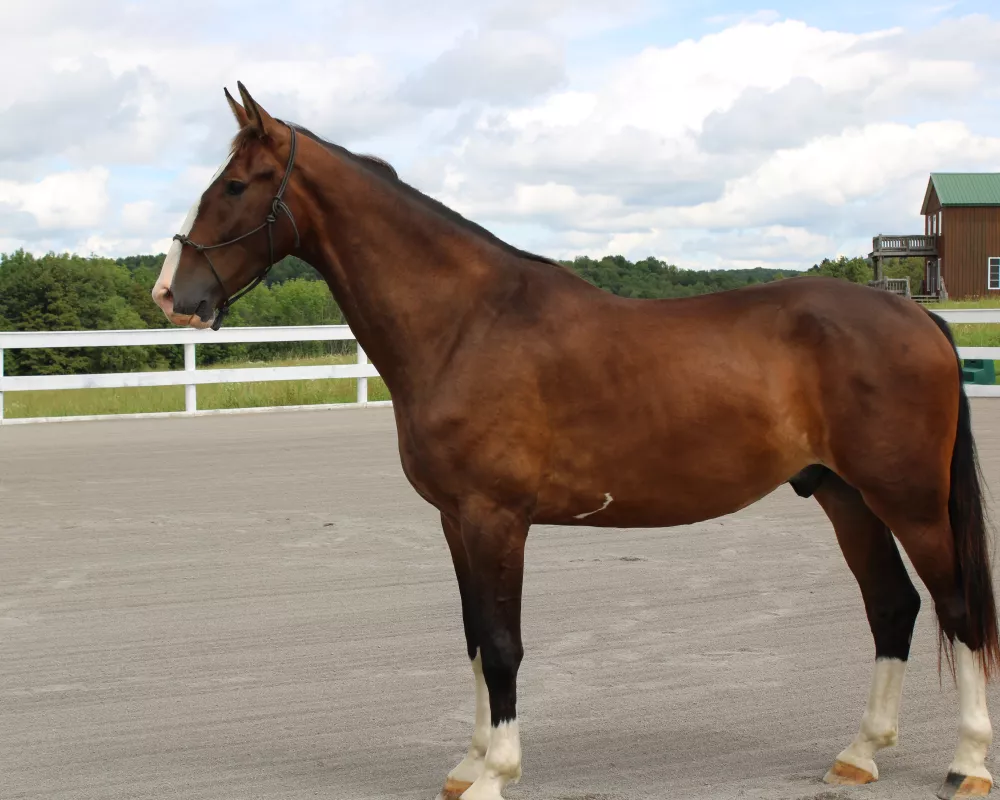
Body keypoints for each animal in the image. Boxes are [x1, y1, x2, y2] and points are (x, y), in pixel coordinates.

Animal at [152, 84, 996, 796]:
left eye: (236, 185)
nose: (171, 294)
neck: (467, 324)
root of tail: (916, 315)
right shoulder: (456, 520)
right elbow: (473, 640)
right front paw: (469, 763)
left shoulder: (496, 518)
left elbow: (502, 643)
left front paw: (496, 773)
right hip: (844, 494)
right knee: (892, 606)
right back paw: (859, 753)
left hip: (909, 501)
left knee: (956, 607)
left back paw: (967, 764)